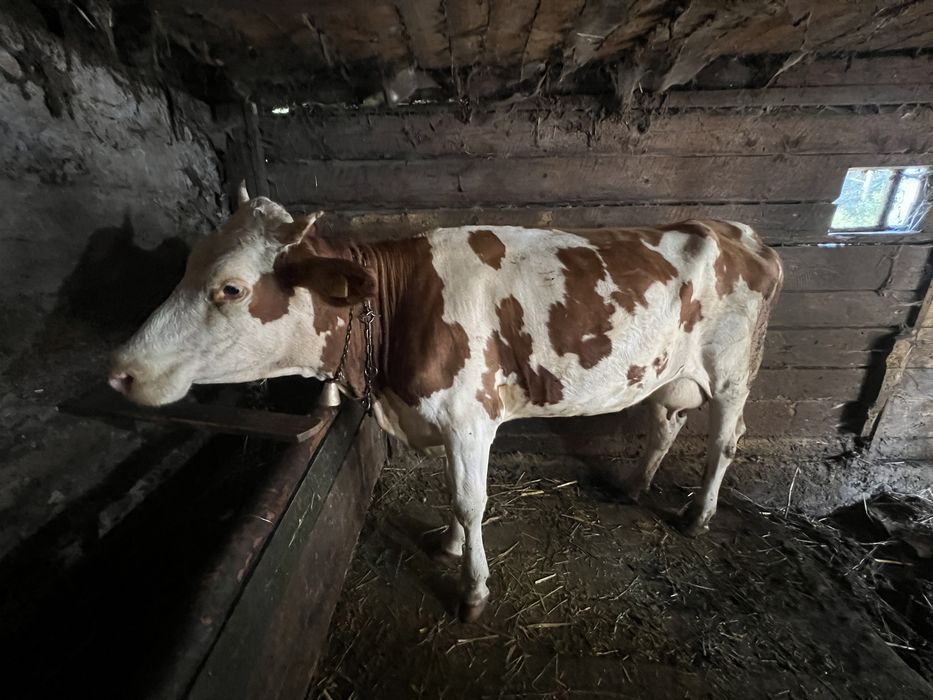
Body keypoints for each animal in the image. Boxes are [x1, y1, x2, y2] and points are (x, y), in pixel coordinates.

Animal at [109, 186, 783, 622]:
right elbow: (454, 495)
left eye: (230, 288)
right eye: (186, 266)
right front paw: (452, 546)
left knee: (724, 439)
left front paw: (473, 590)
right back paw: (635, 486)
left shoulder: (467, 417)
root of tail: (740, 233)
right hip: (670, 371)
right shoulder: (445, 419)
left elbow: (469, 500)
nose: (120, 370)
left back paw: (697, 515)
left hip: (731, 371)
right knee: (666, 420)